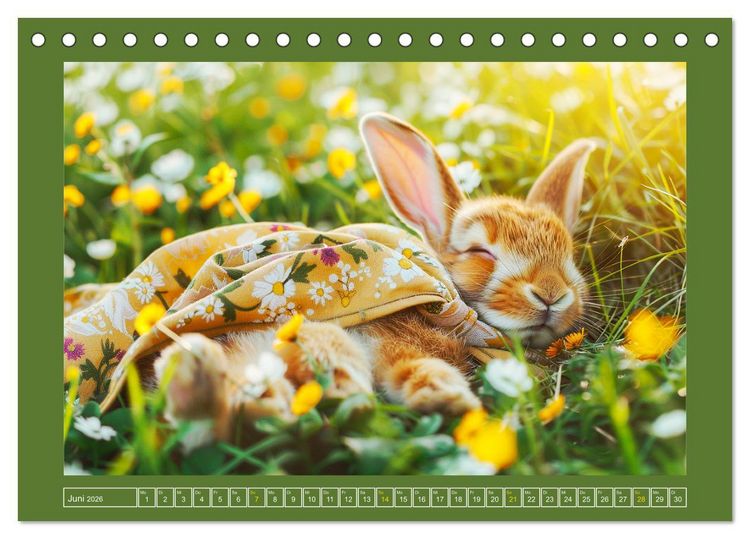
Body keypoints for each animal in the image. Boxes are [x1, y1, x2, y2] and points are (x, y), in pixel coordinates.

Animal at [154, 112, 595, 437]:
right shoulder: (393, 341)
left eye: (569, 256)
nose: (552, 294)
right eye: (479, 253)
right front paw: (451, 402)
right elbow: (418, 369)